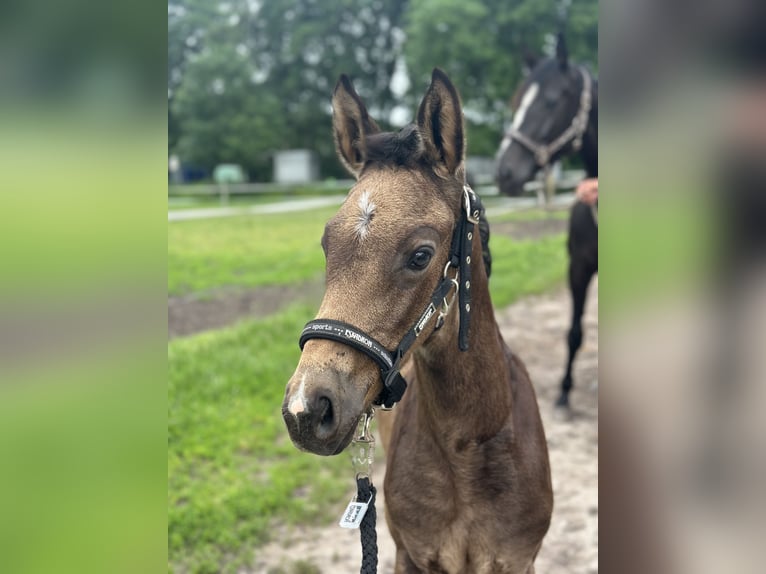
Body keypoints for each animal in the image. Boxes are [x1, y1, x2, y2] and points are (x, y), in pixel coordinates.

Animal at [282, 69, 552, 573]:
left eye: (421, 255)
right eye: (327, 244)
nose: (306, 409)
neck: (471, 446)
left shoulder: (518, 561)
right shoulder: (411, 555)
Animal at [495, 32, 598, 410]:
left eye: (552, 101)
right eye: (517, 102)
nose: (504, 172)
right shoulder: (578, 267)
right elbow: (574, 332)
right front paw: (565, 392)